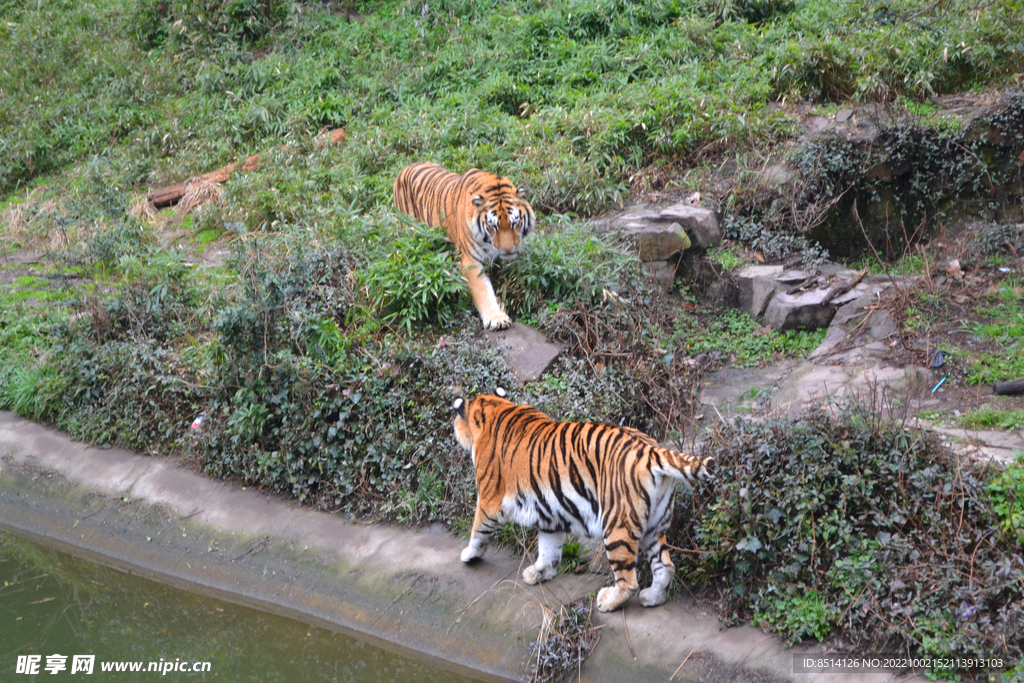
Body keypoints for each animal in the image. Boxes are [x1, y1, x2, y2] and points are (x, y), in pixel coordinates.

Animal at [391, 161, 536, 329]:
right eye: (493, 226)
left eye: (515, 223)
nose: (507, 250)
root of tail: (404, 167)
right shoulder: (469, 262)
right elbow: (483, 290)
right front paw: (497, 319)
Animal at [452, 389, 716, 614]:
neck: (495, 407)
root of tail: (651, 449)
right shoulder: (550, 512)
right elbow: (548, 548)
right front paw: (540, 572)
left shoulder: (489, 500)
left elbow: (478, 530)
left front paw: (469, 555)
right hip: (654, 524)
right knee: (665, 566)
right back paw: (652, 597)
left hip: (617, 525)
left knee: (629, 581)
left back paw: (608, 601)